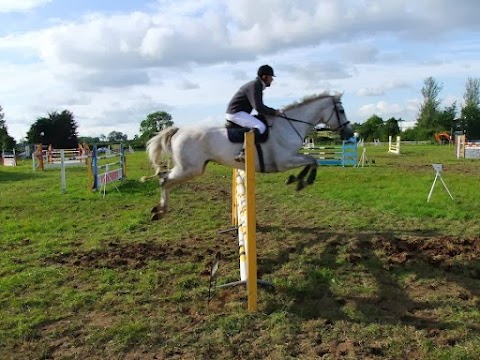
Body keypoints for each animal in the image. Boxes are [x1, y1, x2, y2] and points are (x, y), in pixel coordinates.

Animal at [141, 93, 354, 219]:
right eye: (341, 110)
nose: (349, 133)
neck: (289, 125)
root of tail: (178, 130)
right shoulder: (284, 161)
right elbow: (313, 160)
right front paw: (301, 181)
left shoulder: (290, 159)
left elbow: (312, 160)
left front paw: (297, 180)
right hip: (189, 169)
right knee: (164, 180)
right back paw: (160, 210)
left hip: (191, 169)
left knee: (165, 180)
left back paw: (159, 209)